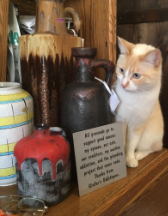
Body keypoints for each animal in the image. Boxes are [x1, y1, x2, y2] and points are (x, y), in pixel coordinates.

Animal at [115, 37, 163, 168]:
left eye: (136, 75)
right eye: (121, 70)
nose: (123, 84)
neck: (133, 97)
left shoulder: (137, 125)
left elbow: (131, 145)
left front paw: (130, 159)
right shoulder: (121, 120)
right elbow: (123, 142)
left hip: (148, 136)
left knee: (155, 148)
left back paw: (139, 154)